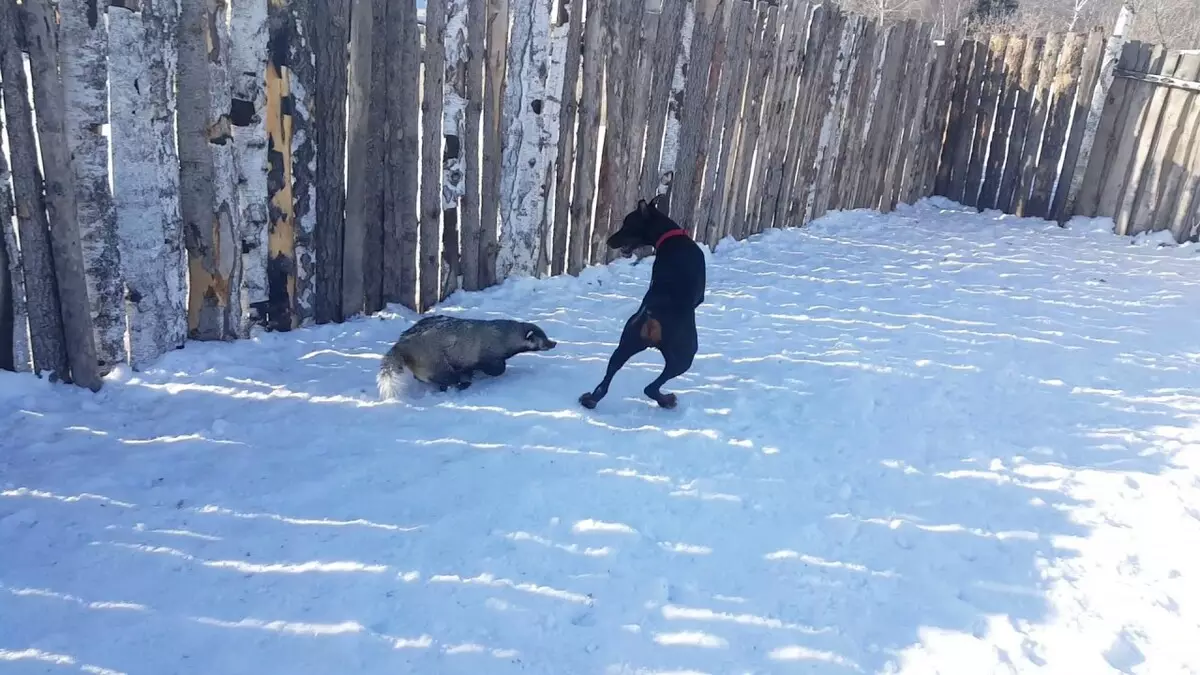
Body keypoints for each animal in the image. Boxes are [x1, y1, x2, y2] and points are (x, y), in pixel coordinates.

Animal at [578, 196, 700, 408]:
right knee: (651, 387)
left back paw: (591, 399)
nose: (609, 241)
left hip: (626, 343)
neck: (669, 236)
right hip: (685, 355)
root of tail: (650, 317)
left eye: (627, 225)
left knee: (608, 377)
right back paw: (667, 400)